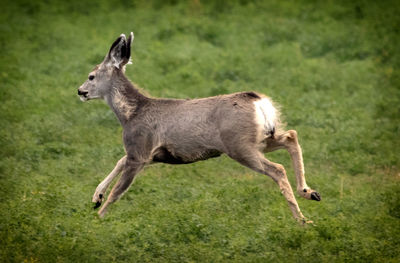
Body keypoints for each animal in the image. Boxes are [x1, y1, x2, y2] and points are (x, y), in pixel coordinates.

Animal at [77, 32, 322, 224]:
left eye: (91, 76)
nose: (80, 91)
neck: (131, 114)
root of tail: (260, 102)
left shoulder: (139, 150)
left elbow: (118, 191)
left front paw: (97, 219)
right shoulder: (148, 155)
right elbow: (119, 162)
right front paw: (96, 197)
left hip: (240, 146)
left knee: (278, 168)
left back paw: (302, 219)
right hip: (261, 139)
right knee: (291, 136)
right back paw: (309, 192)